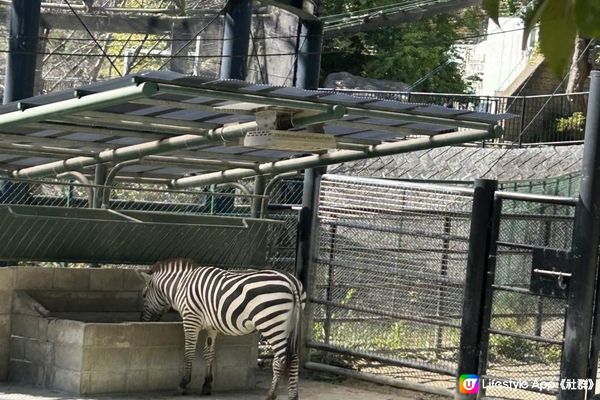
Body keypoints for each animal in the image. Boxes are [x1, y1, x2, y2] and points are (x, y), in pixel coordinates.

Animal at [138, 260, 308, 400]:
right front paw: (207, 385)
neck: (182, 286)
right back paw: (293, 396)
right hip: (290, 325)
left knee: (280, 360)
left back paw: (271, 395)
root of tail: (292, 281)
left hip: (271, 323)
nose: (142, 321)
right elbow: (209, 353)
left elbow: (189, 351)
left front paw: (183, 384)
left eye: (144, 295)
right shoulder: (211, 327)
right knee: (294, 358)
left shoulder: (190, 320)